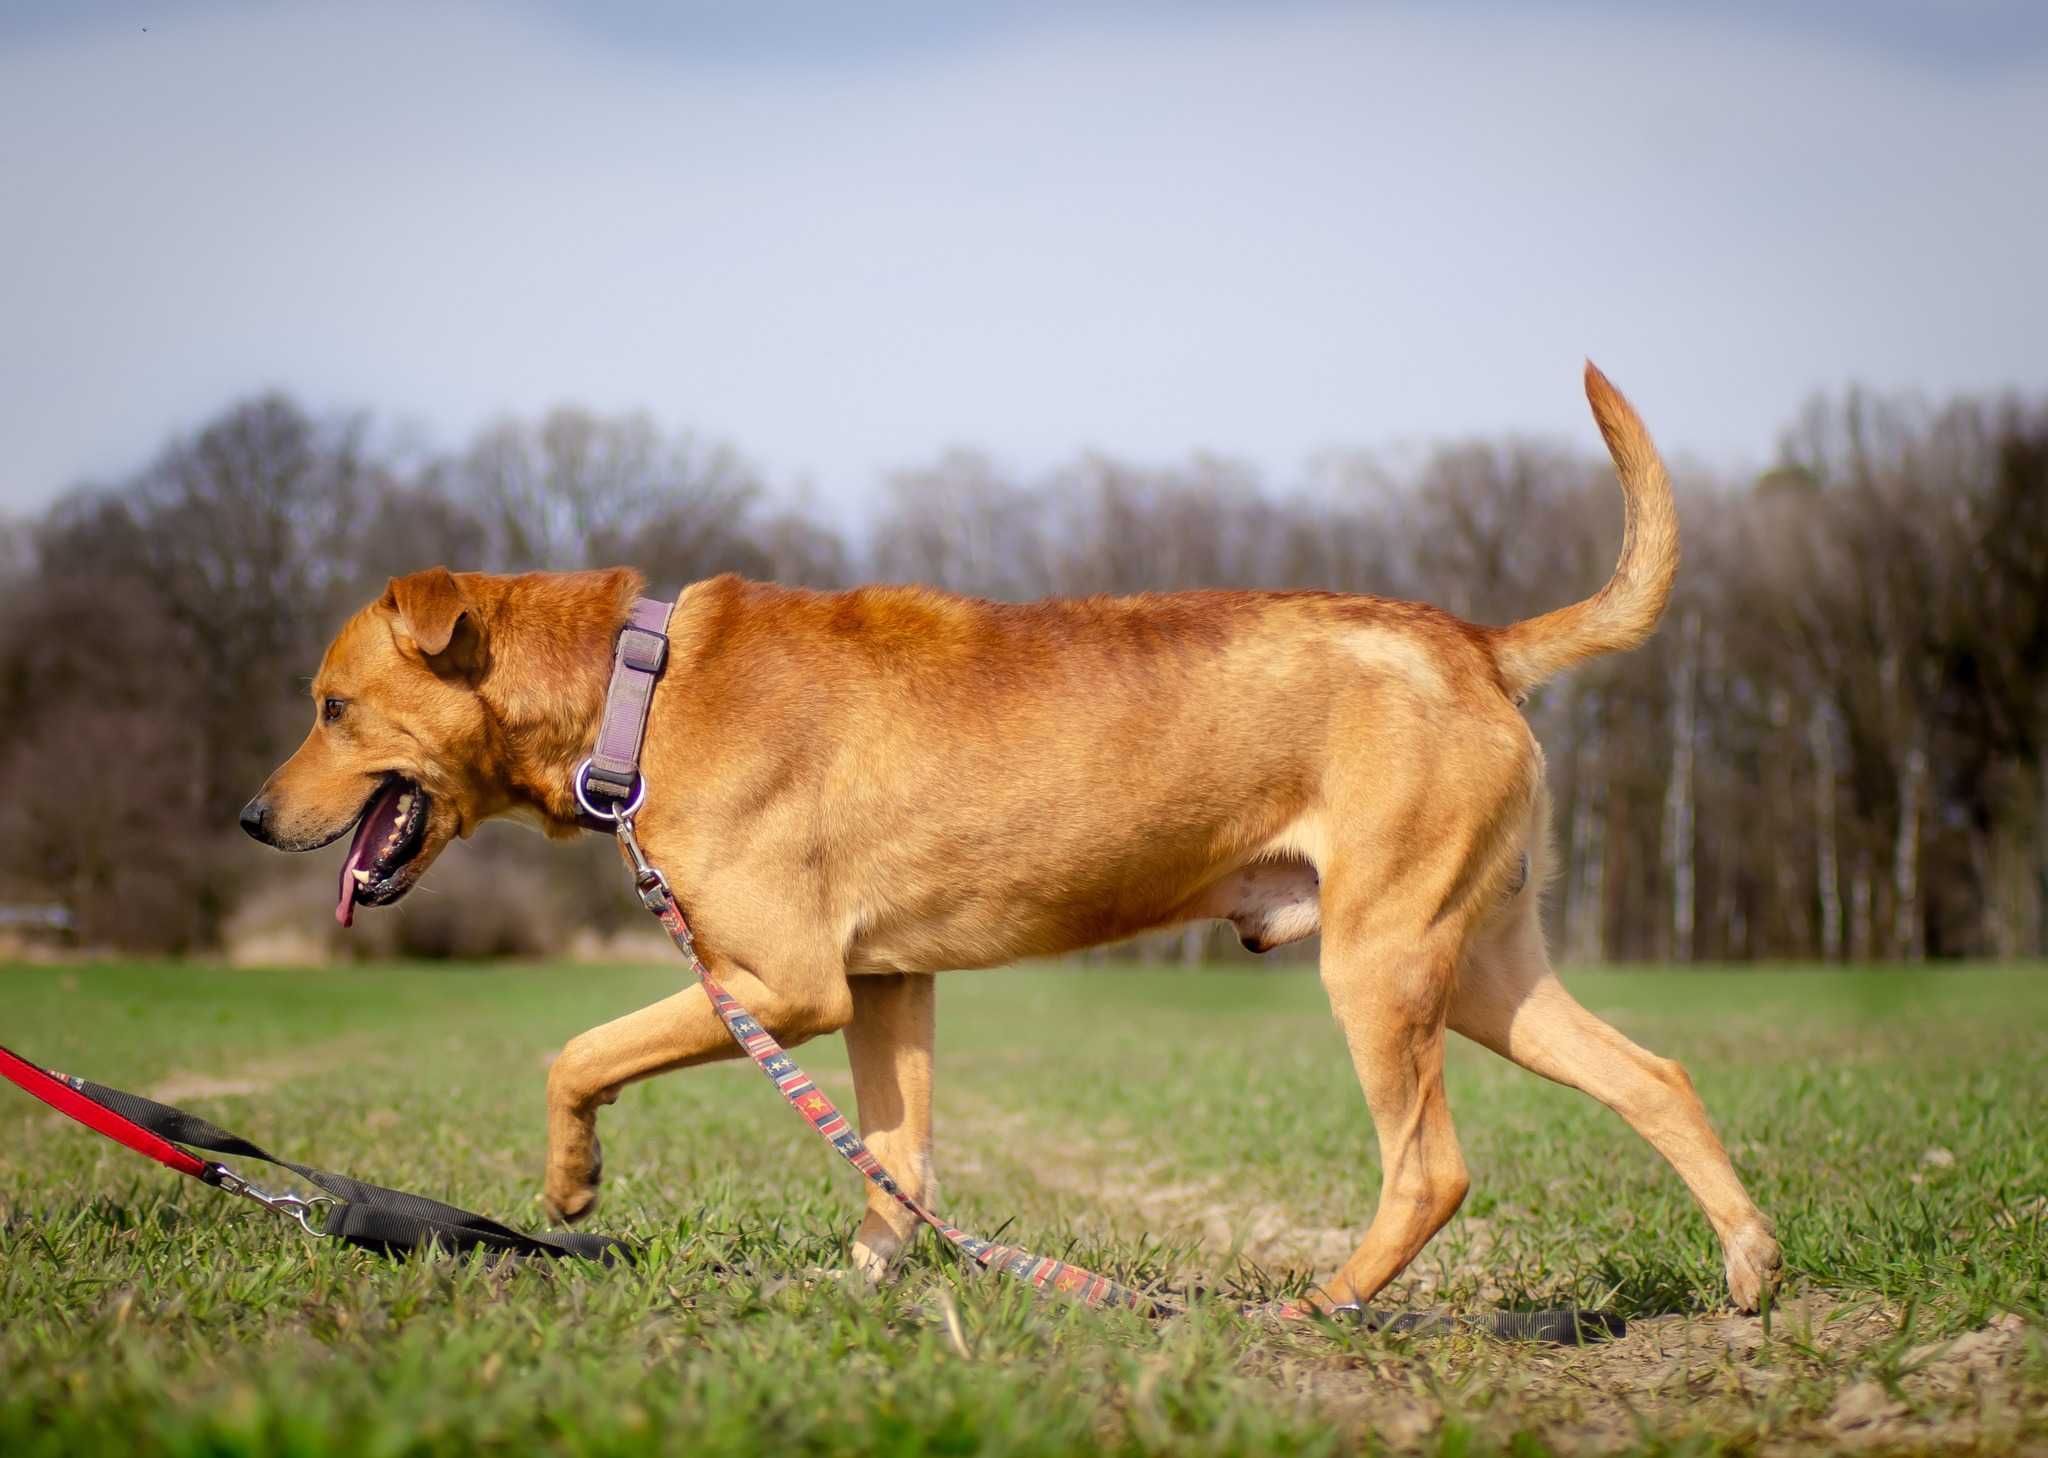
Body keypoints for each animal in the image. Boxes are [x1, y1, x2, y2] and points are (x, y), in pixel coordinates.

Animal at [235, 362, 1777, 1310]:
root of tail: (1474, 641)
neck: (637, 685)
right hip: (1483, 962)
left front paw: (570, 1186)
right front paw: (866, 1287)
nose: (251, 815)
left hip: (1382, 961)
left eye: (329, 705)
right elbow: (897, 1157)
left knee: (1432, 1168)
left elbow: (578, 1050)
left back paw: (1324, 1306)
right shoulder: (881, 984)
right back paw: (1751, 1272)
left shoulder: (779, 981)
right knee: (1657, 1076)